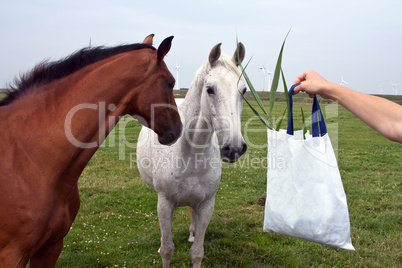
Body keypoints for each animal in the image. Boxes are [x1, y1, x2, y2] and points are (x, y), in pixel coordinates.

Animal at [137, 43, 247, 266]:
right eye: (210, 89)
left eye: (244, 90)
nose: (234, 148)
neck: (190, 154)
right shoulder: (164, 205)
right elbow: (167, 250)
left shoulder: (206, 205)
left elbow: (197, 252)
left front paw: (195, 239)